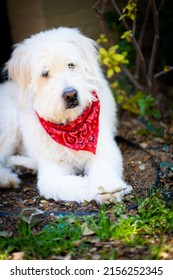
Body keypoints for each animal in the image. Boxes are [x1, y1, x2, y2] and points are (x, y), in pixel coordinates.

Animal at [0, 27, 131, 203]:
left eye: (71, 65)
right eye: (45, 73)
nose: (71, 95)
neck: (71, 127)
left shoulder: (104, 148)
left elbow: (102, 168)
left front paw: (107, 186)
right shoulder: (51, 168)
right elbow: (56, 184)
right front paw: (97, 188)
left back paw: (22, 166)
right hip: (9, 120)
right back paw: (8, 177)